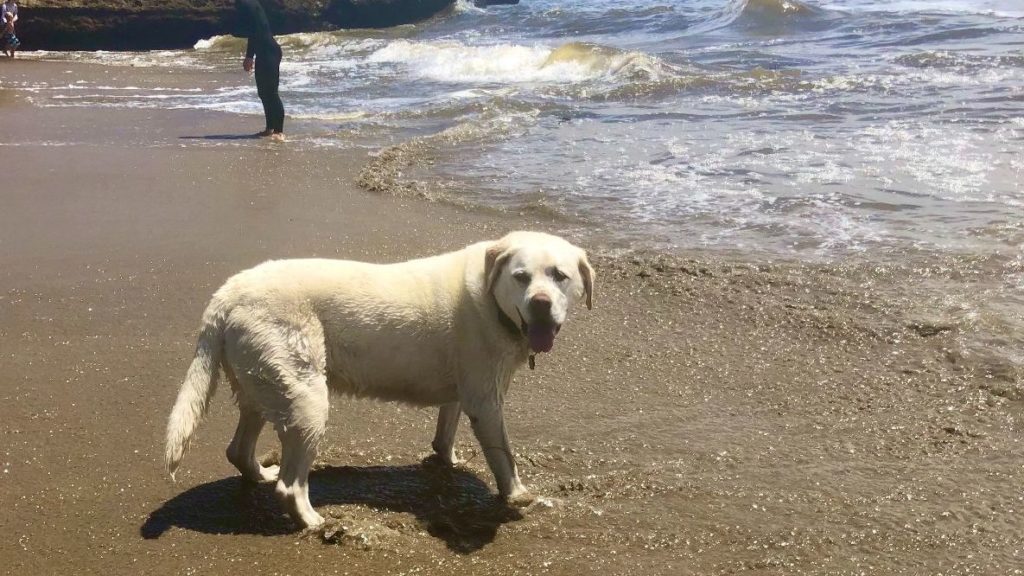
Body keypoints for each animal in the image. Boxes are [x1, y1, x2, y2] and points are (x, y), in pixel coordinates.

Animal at [163, 230, 598, 528]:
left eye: (559, 276)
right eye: (521, 277)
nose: (540, 304)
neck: (492, 300)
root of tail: (225, 294)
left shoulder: (462, 391)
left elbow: (446, 430)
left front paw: (446, 460)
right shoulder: (486, 400)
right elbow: (503, 457)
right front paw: (518, 496)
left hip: (261, 381)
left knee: (240, 448)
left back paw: (260, 475)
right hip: (305, 394)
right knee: (290, 484)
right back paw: (311, 520)